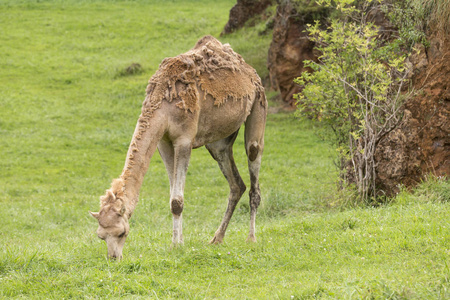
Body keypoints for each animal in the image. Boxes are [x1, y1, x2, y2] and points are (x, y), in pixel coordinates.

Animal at [89, 36, 268, 258]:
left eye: (122, 233)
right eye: (101, 236)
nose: (114, 258)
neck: (162, 104)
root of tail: (251, 72)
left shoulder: (184, 139)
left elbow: (177, 201)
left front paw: (176, 245)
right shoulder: (164, 142)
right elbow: (173, 198)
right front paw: (179, 242)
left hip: (258, 106)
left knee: (253, 167)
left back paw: (251, 238)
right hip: (218, 142)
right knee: (236, 184)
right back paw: (216, 239)